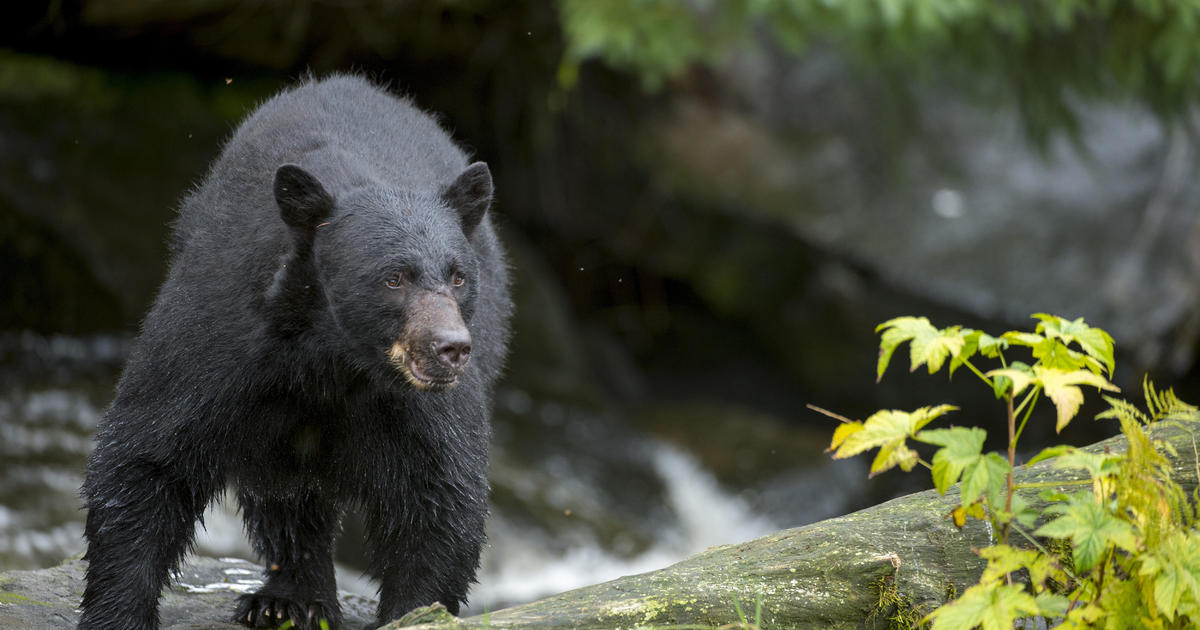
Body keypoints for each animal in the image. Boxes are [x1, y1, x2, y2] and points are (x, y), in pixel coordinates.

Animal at [78, 75, 512, 630]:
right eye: (394, 278)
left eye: (457, 276)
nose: (451, 348)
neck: (334, 359)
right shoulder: (223, 339)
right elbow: (149, 453)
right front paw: (117, 613)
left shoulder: (417, 405)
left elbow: (438, 492)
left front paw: (414, 612)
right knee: (285, 494)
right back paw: (290, 597)